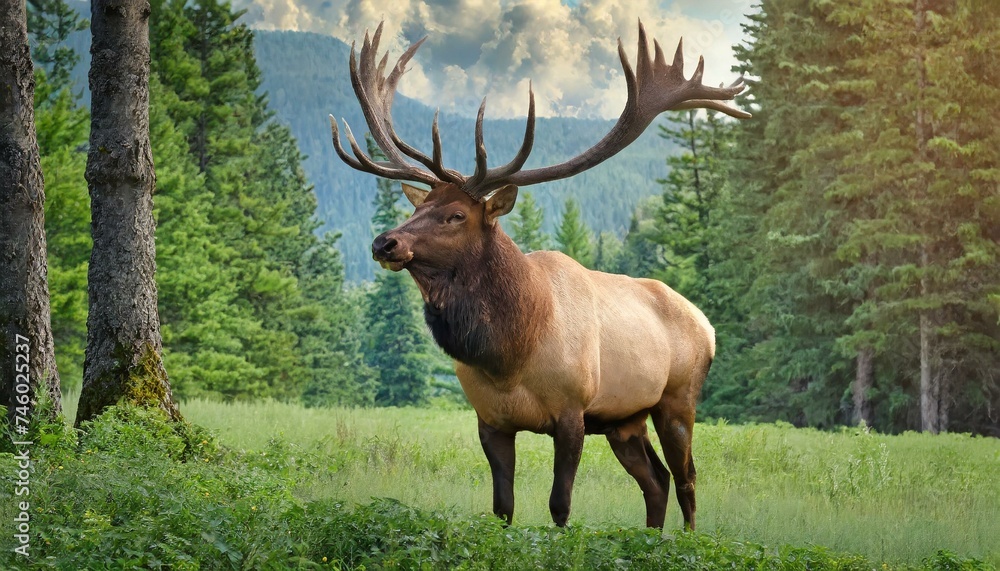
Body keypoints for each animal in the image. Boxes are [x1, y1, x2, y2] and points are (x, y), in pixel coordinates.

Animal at [329, 21, 750, 530]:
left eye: (455, 216)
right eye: (418, 208)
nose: (384, 243)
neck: (511, 353)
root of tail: (707, 325)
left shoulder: (572, 413)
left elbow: (559, 506)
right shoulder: (490, 420)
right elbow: (502, 508)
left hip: (677, 400)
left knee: (686, 479)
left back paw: (686, 539)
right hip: (625, 420)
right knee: (657, 481)